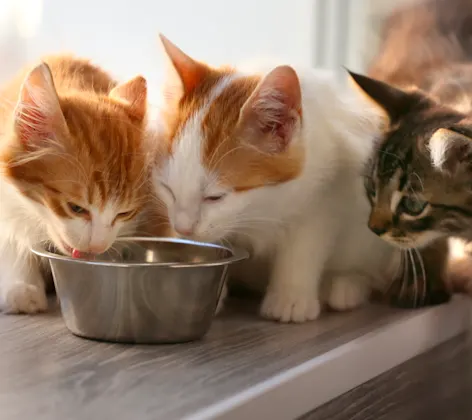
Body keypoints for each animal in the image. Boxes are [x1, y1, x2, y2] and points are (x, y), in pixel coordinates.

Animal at [151, 36, 402, 324]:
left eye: (215, 197)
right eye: (167, 189)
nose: (182, 229)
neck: (262, 206)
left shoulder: (327, 190)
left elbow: (304, 243)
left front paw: (291, 297)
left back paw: (345, 285)